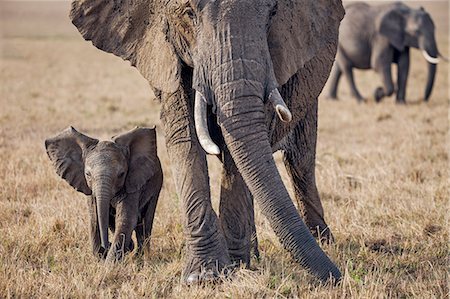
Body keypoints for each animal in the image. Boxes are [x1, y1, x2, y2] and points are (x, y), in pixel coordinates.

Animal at [44, 125, 163, 262]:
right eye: (88, 174)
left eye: (121, 174)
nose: (106, 245)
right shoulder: (89, 189)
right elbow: (95, 218)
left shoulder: (132, 183)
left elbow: (126, 219)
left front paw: (110, 263)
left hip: (156, 185)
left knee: (145, 222)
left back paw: (141, 258)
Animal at [69, 0, 344, 284]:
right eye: (189, 13)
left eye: (272, 14)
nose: (338, 276)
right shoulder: (164, 51)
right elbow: (184, 134)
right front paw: (204, 275)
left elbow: (241, 145)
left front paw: (234, 267)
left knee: (299, 162)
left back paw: (321, 243)